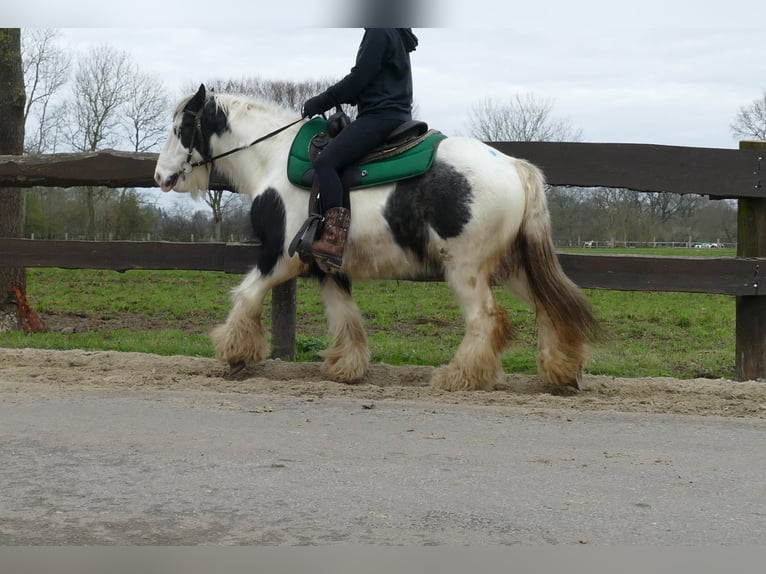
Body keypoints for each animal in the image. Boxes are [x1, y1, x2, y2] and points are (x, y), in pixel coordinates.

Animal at [154, 84, 600, 392]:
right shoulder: (325, 264)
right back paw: (561, 370)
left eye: (181, 128)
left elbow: (246, 295)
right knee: (549, 308)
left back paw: (461, 376)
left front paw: (234, 353)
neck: (274, 158)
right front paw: (346, 367)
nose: (160, 176)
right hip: (511, 267)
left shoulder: (280, 255)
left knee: (487, 320)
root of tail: (514, 166)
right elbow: (345, 315)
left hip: (466, 270)